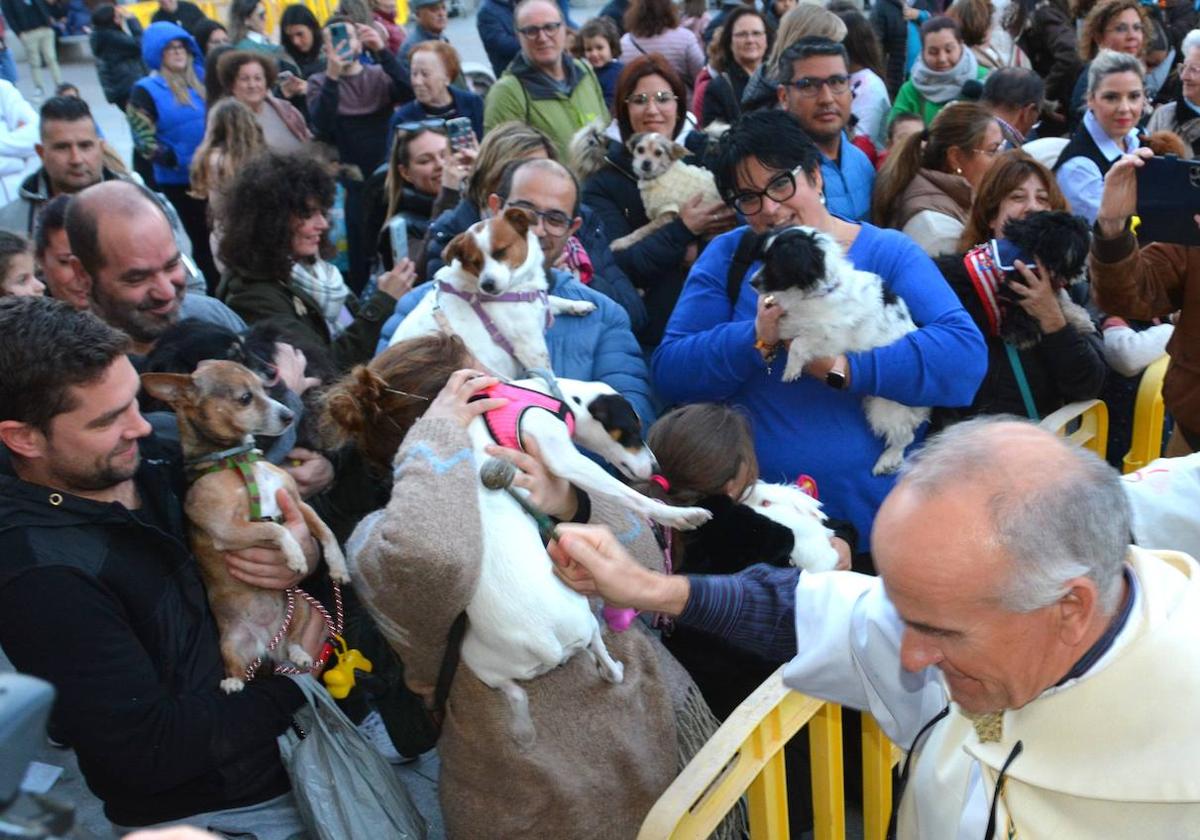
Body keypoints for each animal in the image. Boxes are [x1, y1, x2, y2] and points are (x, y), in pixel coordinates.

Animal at [141, 362, 350, 696]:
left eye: (265, 388)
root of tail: (267, 645)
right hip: (229, 642)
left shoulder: (296, 502)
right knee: (240, 668)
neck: (238, 461)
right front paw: (295, 555)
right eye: (244, 398)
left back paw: (299, 654)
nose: (289, 415)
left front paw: (339, 568)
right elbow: (277, 531)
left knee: (293, 639)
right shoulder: (228, 529)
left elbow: (325, 530)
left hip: (303, 606)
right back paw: (233, 682)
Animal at [388, 208, 595, 379]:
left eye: (501, 252)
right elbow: (550, 381)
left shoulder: (537, 302)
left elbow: (554, 299)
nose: (487, 285)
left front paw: (579, 305)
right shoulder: (531, 348)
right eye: (474, 262)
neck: (517, 288)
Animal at [460, 374, 705, 739]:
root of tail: (542, 640)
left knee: (517, 693)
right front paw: (680, 516)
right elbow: (629, 495)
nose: (657, 468)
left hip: (483, 663)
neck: (547, 393)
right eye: (632, 429)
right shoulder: (564, 457)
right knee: (599, 654)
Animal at [753, 226, 931, 475]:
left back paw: (888, 459)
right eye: (762, 260)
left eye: (776, 265)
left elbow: (799, 345)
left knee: (905, 437)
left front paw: (791, 369)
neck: (821, 290)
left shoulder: (831, 338)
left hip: (884, 408)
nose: (751, 282)